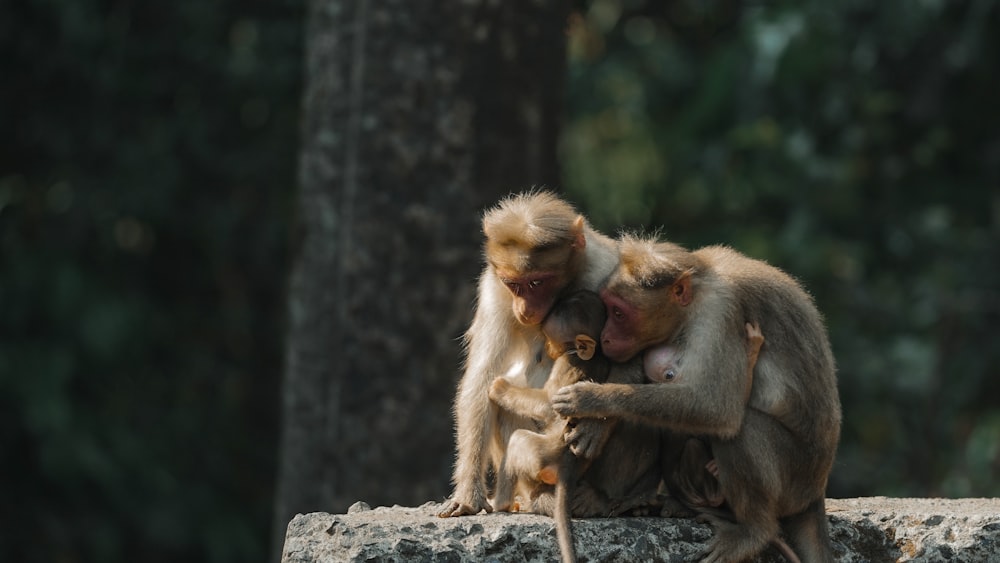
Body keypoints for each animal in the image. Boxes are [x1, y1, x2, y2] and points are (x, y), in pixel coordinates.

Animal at [434, 193, 620, 520]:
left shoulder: (606, 270)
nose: (524, 308)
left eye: (537, 283)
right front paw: (468, 493)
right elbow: (483, 376)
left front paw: (595, 426)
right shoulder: (493, 287)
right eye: (513, 284)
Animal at [486, 290, 608, 563]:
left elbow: (548, 404)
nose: (549, 350)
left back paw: (501, 504)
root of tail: (567, 464)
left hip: (540, 456)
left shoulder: (566, 362)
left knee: (518, 441)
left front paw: (500, 388)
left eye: (552, 338)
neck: (592, 355)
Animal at [552, 238, 840, 563]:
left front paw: (591, 400)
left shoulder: (719, 313)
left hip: (794, 477)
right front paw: (597, 424)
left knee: (743, 431)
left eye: (619, 313)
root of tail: (816, 491)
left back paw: (754, 531)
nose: (605, 337)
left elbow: (716, 408)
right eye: (610, 309)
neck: (699, 286)